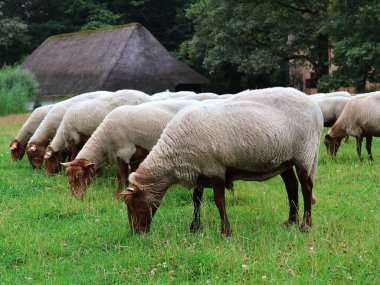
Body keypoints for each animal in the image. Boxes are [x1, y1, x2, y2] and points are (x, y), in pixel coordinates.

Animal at [60, 98, 200, 199]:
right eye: (67, 176)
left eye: (79, 175)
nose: (75, 197)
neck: (105, 140)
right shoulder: (133, 157)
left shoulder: (125, 152)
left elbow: (121, 175)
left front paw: (117, 197)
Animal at [121, 87, 324, 235]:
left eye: (130, 203)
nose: (137, 233)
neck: (173, 159)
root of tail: (315, 108)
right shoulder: (199, 169)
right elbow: (196, 200)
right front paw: (195, 227)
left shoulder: (215, 168)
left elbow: (219, 201)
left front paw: (225, 231)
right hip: (285, 159)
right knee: (291, 186)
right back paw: (291, 221)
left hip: (304, 153)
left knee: (306, 188)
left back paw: (305, 225)